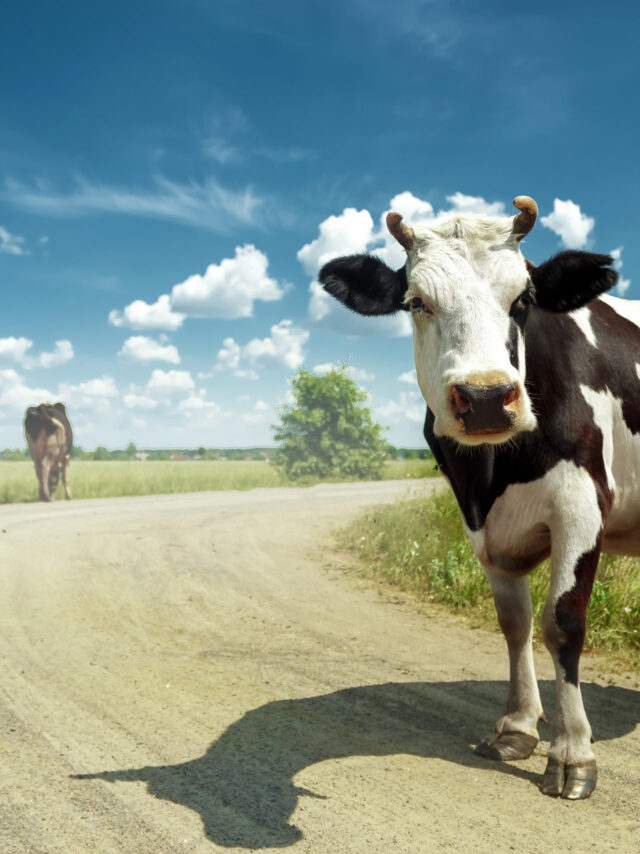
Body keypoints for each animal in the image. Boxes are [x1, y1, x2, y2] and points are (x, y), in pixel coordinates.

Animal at [318, 196, 628, 804]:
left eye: (524, 299)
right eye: (417, 302)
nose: (485, 397)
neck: (495, 471)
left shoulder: (584, 504)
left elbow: (562, 622)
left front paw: (572, 751)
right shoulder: (480, 521)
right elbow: (515, 623)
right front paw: (517, 727)